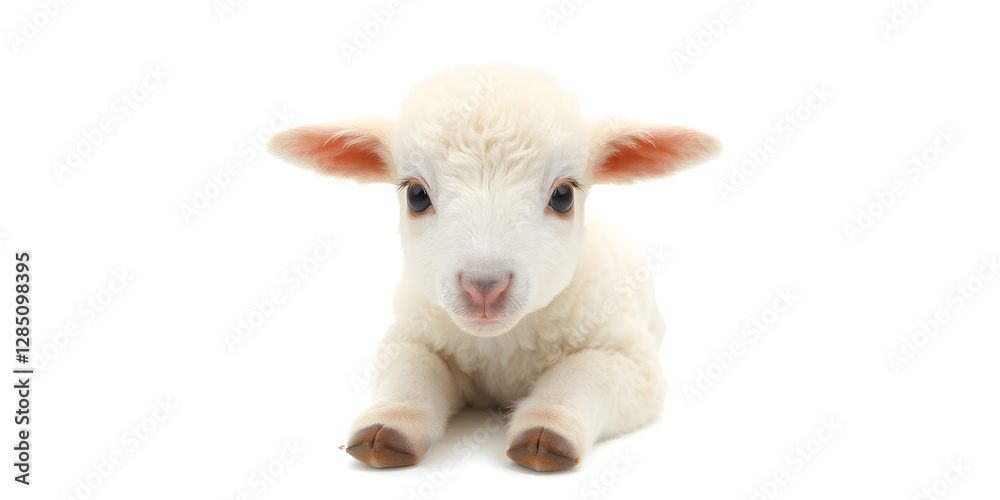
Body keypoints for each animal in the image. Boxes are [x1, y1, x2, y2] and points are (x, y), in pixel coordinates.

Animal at [266, 65, 722, 471]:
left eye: (563, 195)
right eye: (415, 194)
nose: (484, 286)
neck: (501, 349)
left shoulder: (629, 359)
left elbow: (579, 375)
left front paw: (546, 434)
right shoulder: (412, 335)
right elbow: (411, 373)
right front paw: (386, 430)